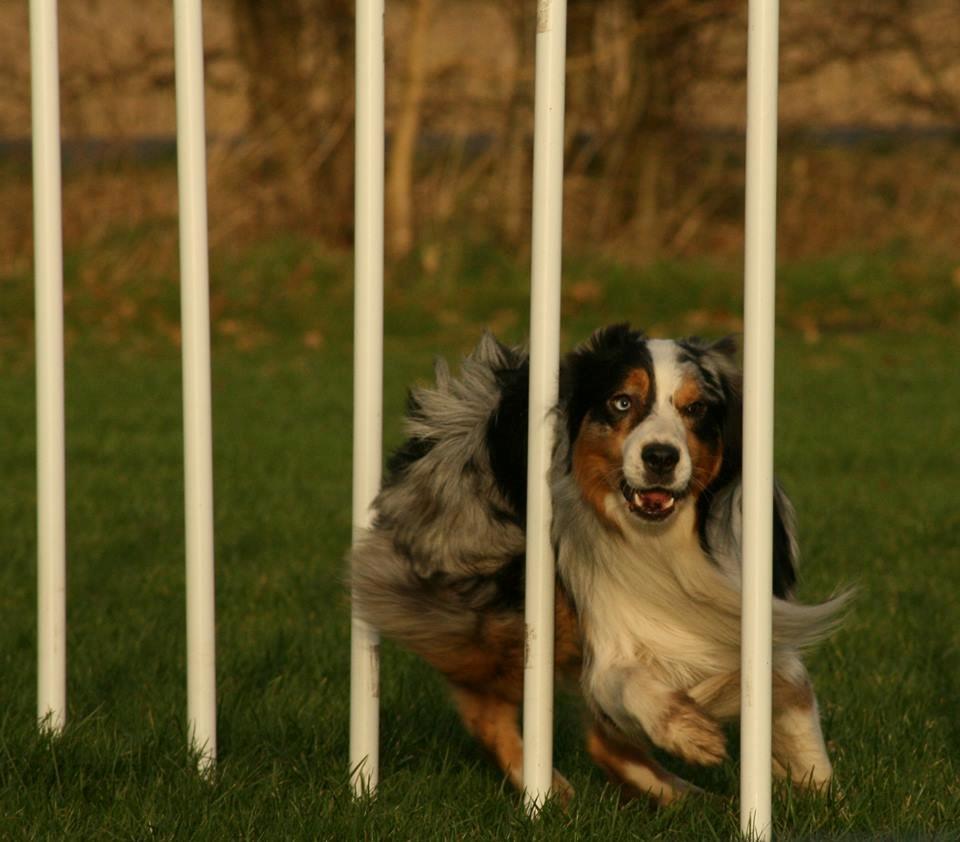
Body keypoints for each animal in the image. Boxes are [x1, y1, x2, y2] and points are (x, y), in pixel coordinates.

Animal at [350, 322, 848, 800]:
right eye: (621, 402)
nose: (661, 457)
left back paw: (687, 796)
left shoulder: (759, 618)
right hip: (507, 600)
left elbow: (796, 707)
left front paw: (821, 797)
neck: (664, 544)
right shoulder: (608, 630)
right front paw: (688, 731)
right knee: (487, 706)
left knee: (601, 741)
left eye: (696, 409)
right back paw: (551, 790)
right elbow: (624, 682)